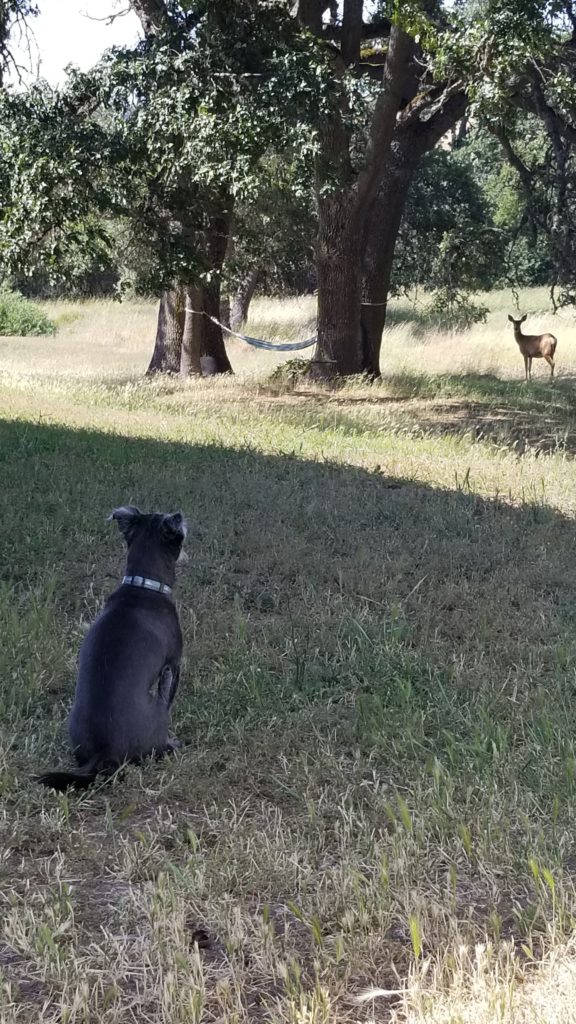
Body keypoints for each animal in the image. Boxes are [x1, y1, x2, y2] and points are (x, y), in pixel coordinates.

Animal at [36, 505, 184, 790]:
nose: (180, 515)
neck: (142, 584)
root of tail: (103, 751)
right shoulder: (174, 664)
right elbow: (170, 694)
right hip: (157, 713)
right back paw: (169, 746)